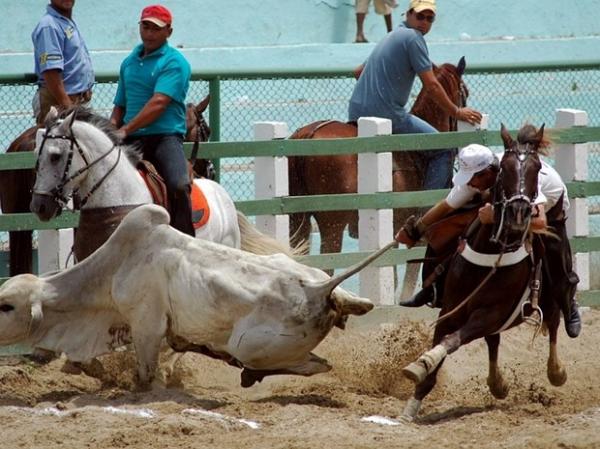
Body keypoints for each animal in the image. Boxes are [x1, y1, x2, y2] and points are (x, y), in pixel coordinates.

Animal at [0, 205, 392, 386]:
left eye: (6, 306)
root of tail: (320, 289)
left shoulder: (146, 326)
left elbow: (146, 374)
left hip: (248, 345)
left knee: (309, 365)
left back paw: (247, 372)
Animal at [398, 124, 568, 422]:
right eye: (504, 169)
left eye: (536, 168)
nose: (519, 213)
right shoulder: (451, 310)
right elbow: (442, 347)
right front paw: (411, 406)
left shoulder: (491, 313)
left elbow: (452, 341)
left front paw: (423, 361)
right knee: (494, 341)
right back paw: (497, 384)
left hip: (548, 295)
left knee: (555, 322)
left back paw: (555, 371)